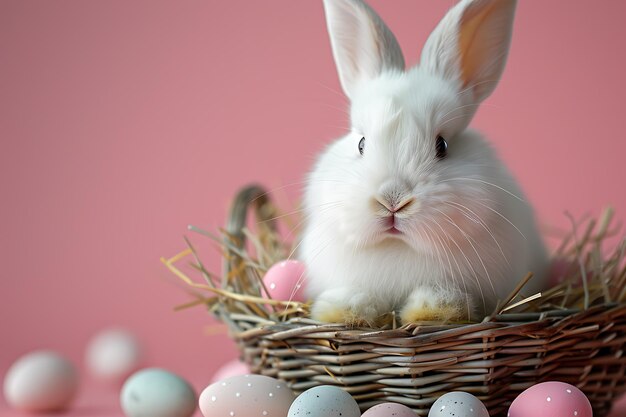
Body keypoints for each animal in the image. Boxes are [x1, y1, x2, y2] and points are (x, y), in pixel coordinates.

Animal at [300, 0, 548, 324]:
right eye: (361, 144)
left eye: (442, 145)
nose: (392, 201)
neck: (399, 248)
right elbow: (356, 295)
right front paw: (340, 312)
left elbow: (442, 295)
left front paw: (431, 311)